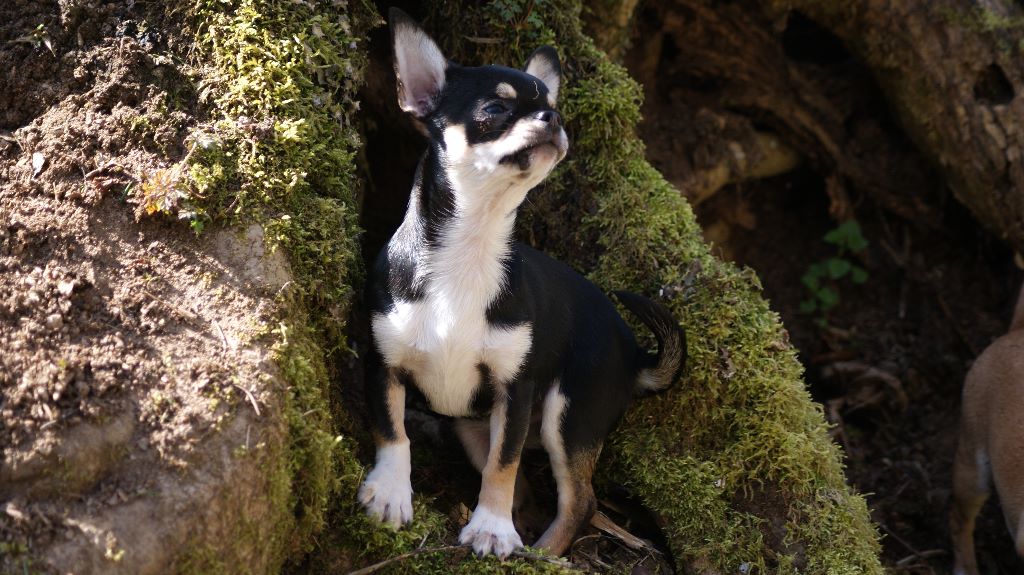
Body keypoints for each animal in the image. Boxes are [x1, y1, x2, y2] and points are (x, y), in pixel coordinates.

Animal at [356, 7, 684, 556]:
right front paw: (389, 493)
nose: (554, 120)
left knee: (580, 501)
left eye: (553, 107)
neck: (472, 247)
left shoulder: (515, 389)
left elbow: (502, 464)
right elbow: (391, 431)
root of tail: (635, 354)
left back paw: (545, 553)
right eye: (495, 108)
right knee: (532, 487)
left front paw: (491, 528)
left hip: (567, 416)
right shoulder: (386, 365)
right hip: (479, 425)